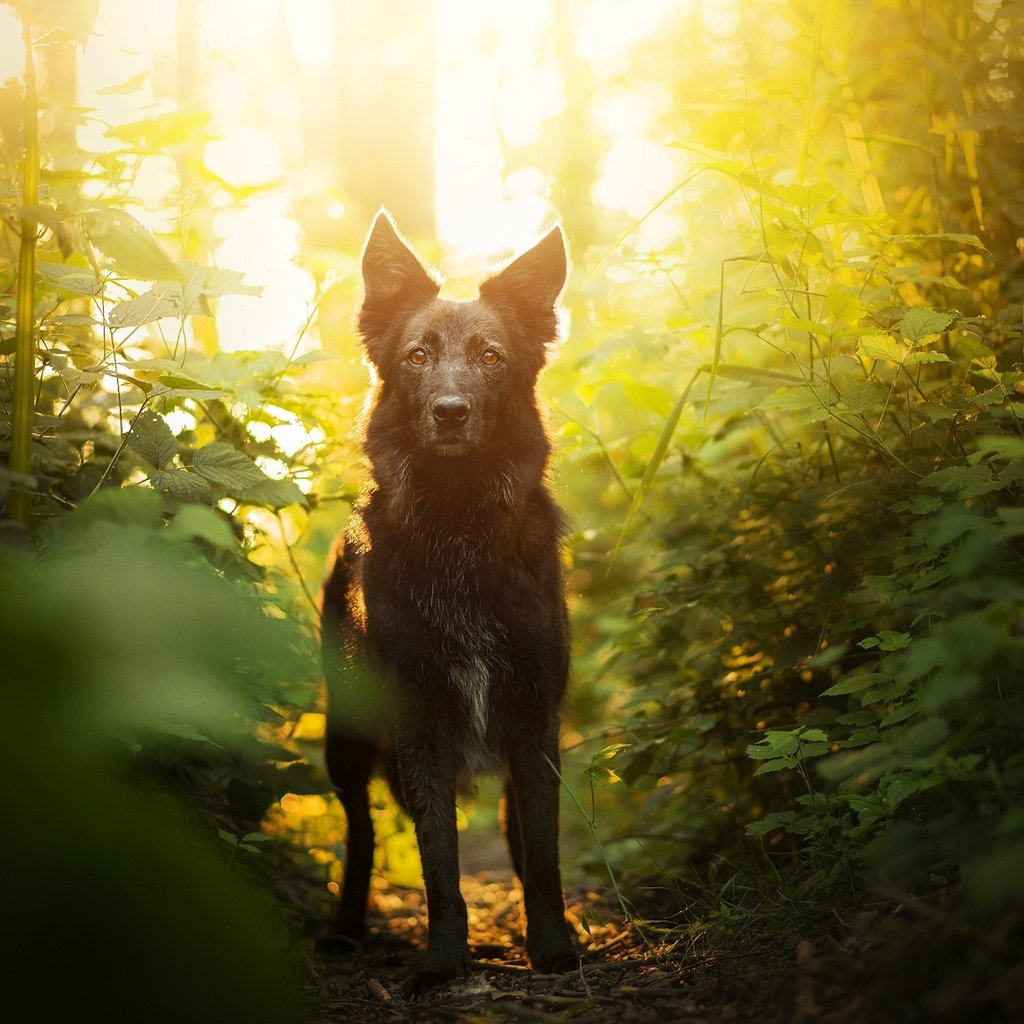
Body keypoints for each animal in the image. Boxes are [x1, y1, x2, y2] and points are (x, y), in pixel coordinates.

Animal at [319, 211, 577, 995]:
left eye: (491, 357)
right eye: (416, 356)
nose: (451, 412)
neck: (458, 527)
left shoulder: (534, 719)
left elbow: (544, 853)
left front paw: (553, 948)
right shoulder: (420, 723)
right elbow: (438, 864)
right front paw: (442, 963)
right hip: (344, 741)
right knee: (362, 835)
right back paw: (344, 929)